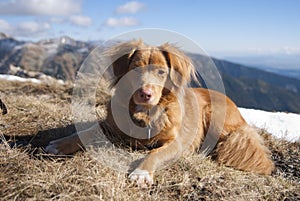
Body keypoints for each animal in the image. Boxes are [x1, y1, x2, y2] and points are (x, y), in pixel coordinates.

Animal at [46, 40, 274, 186]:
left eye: (161, 72)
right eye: (135, 69)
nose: (145, 94)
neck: (147, 114)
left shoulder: (176, 142)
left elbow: (154, 153)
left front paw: (141, 172)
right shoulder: (111, 126)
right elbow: (86, 131)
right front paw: (60, 144)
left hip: (215, 114)